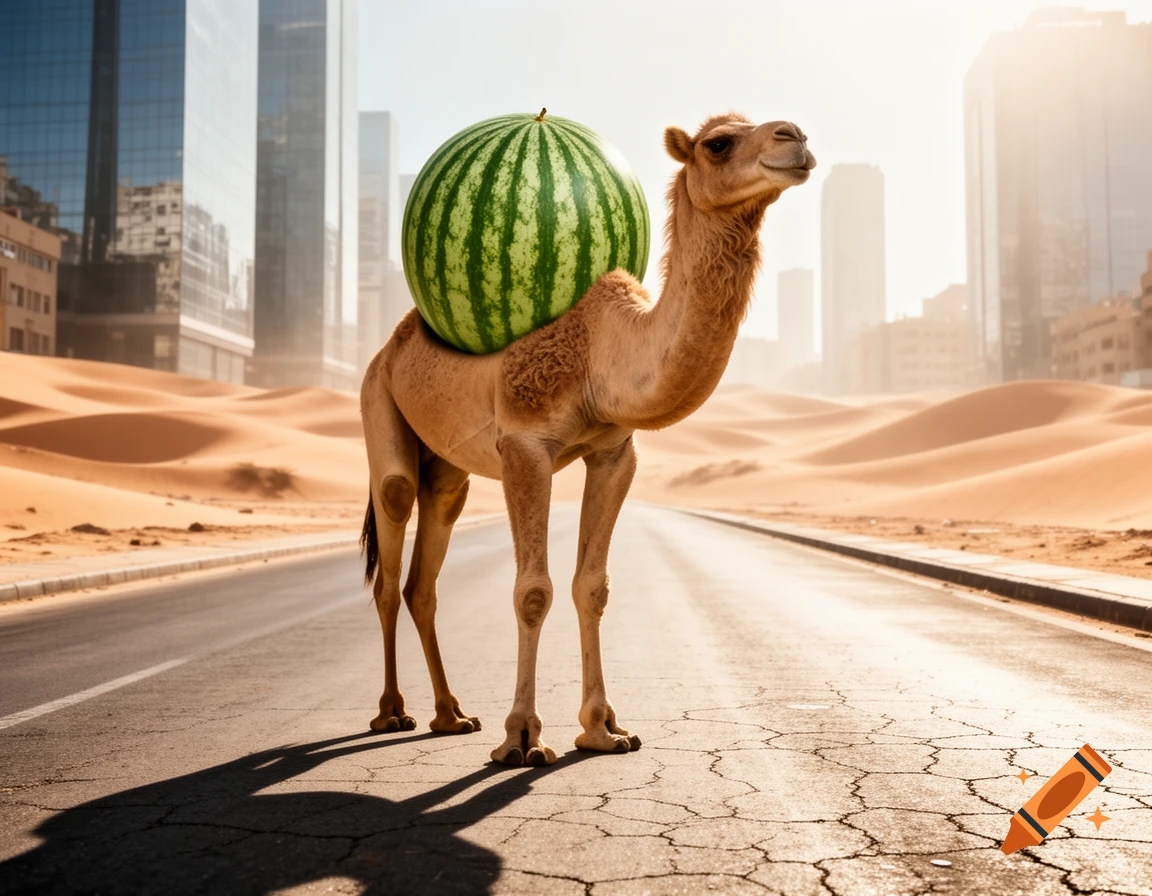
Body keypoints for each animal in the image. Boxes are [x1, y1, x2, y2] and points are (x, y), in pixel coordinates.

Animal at [359, 113, 815, 766]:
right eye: (718, 143)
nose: (794, 138)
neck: (605, 353)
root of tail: (387, 351)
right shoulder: (525, 445)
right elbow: (533, 591)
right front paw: (523, 737)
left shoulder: (613, 452)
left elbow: (592, 586)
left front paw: (603, 730)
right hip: (379, 405)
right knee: (390, 550)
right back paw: (393, 712)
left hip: (446, 470)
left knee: (425, 578)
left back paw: (451, 715)